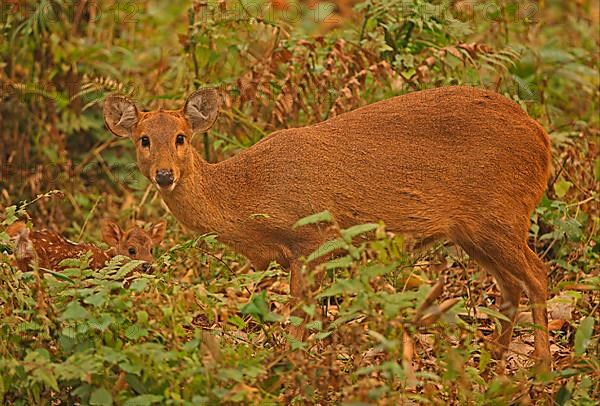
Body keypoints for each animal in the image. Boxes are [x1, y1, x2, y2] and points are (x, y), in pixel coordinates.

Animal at [104, 87, 552, 370]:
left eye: (181, 137)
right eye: (144, 139)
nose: (164, 175)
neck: (249, 195)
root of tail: (542, 138)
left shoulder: (312, 239)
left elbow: (301, 319)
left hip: (501, 215)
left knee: (537, 275)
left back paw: (540, 371)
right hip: (474, 231)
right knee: (511, 288)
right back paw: (492, 366)